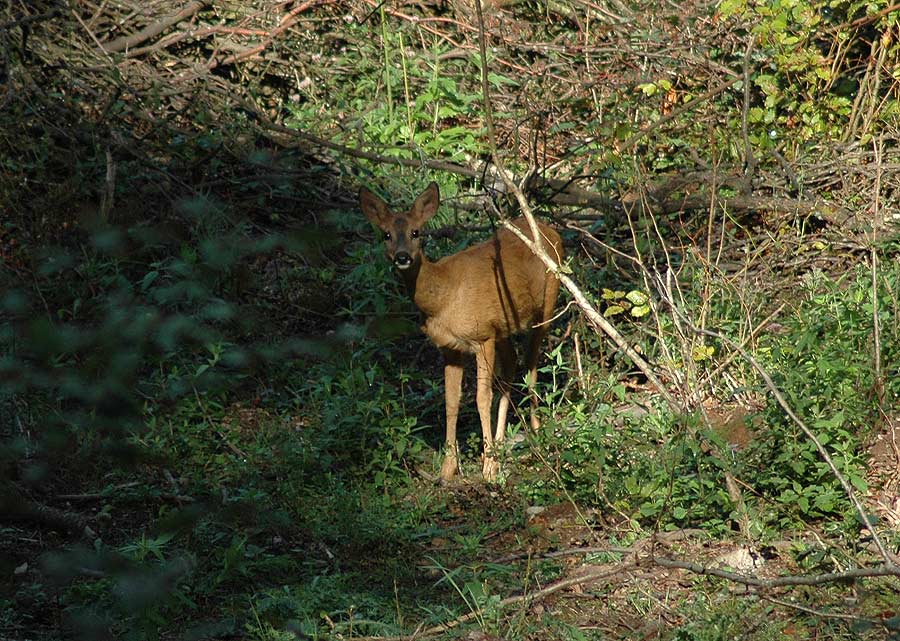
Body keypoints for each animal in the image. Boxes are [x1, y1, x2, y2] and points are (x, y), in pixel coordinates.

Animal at [358, 180, 564, 480]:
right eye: (386, 234)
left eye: (416, 232)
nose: (403, 257)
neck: (443, 297)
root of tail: (552, 230)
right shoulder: (450, 348)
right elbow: (451, 401)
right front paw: (448, 468)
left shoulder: (482, 336)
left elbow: (481, 397)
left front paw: (489, 469)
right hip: (503, 327)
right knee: (512, 364)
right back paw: (501, 441)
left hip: (547, 305)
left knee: (531, 365)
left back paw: (536, 433)